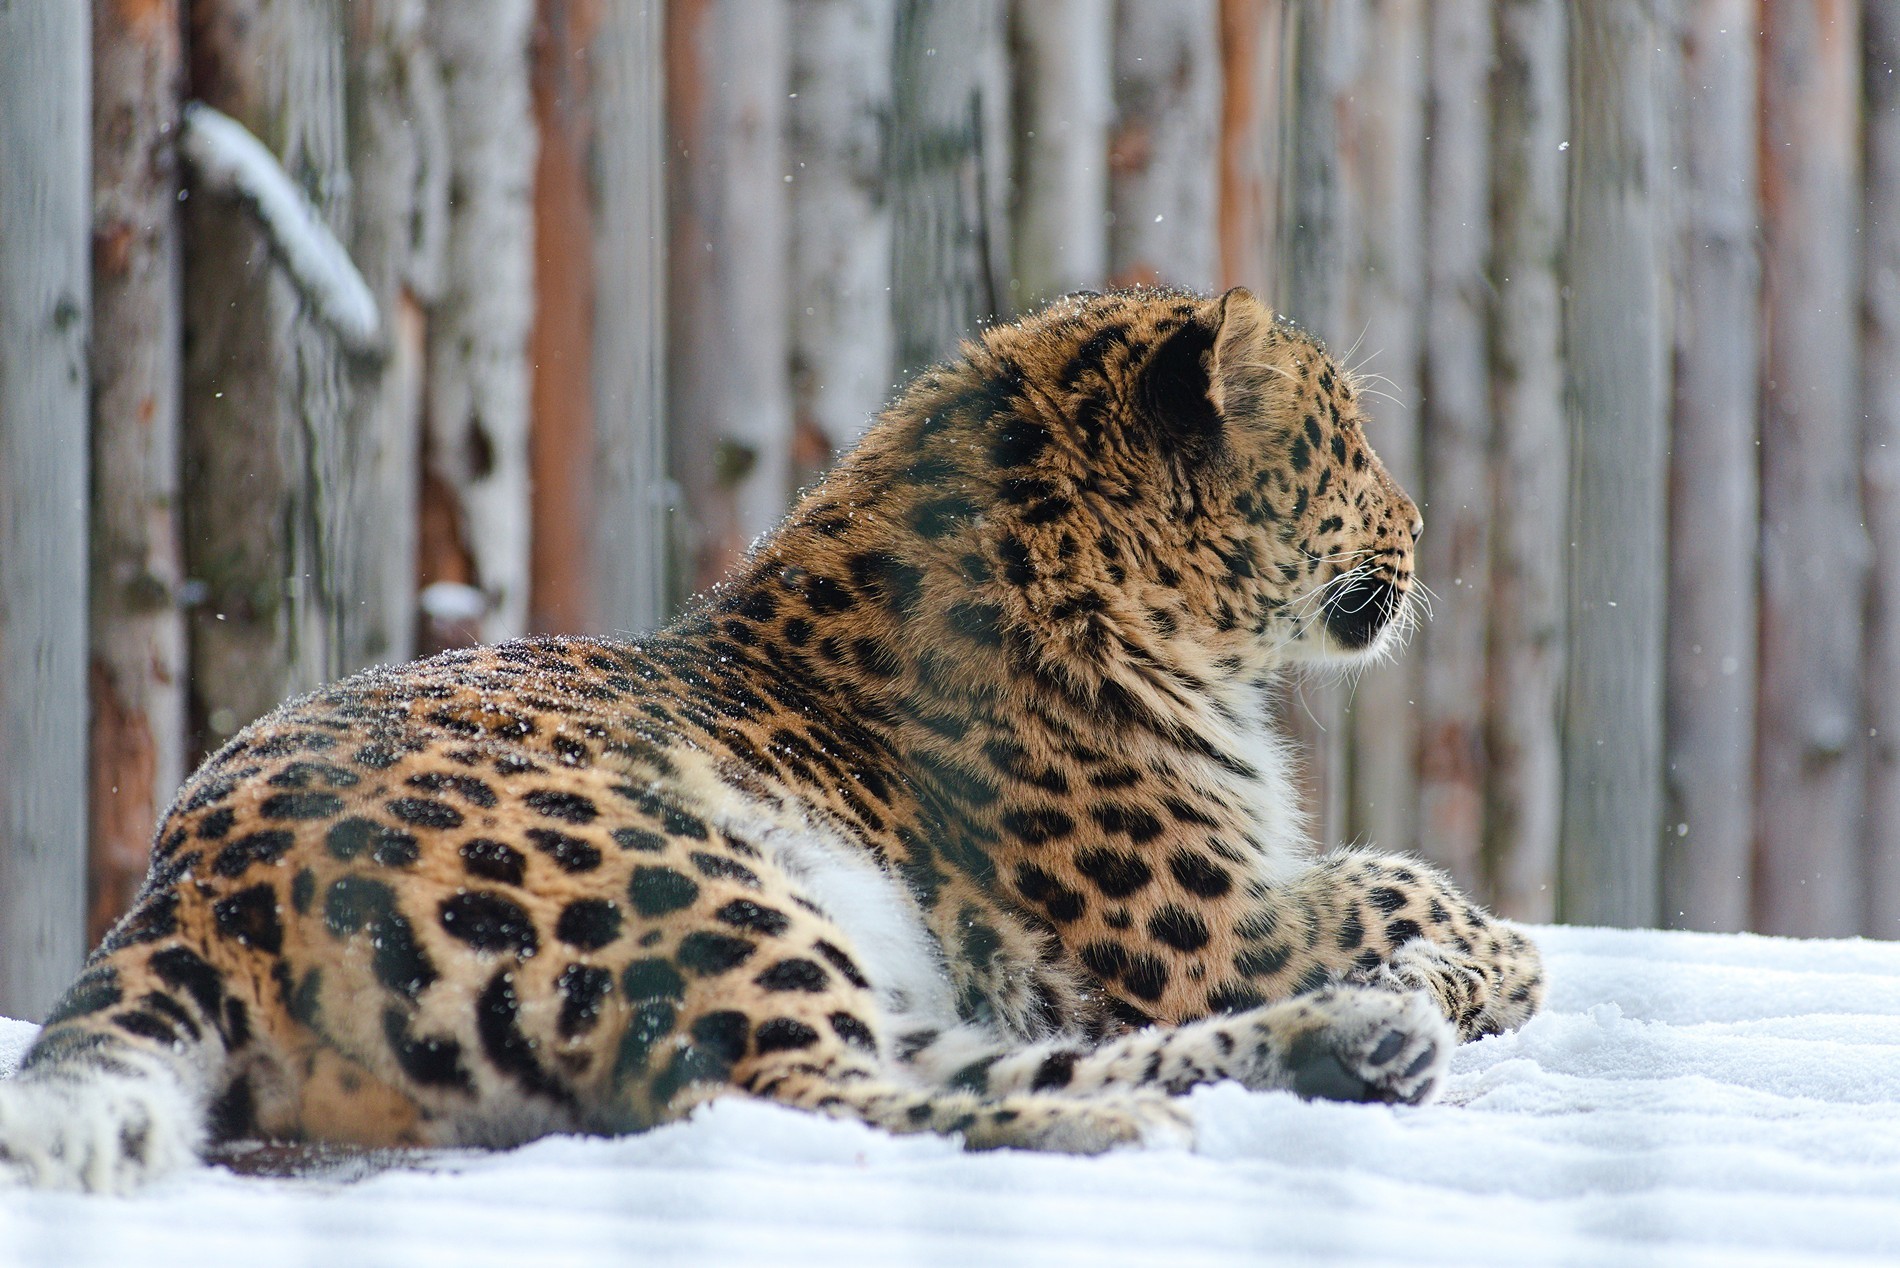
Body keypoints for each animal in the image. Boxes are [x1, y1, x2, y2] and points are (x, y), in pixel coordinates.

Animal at [0, 285, 1542, 1193]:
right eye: (1348, 445)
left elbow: (1393, 886)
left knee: (914, 1065)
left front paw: (1459, 973)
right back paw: (1138, 1124)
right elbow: (1397, 881)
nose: (1418, 526)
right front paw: (1493, 960)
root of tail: (187, 882)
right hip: (694, 880)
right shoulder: (1201, 932)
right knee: (807, 1096)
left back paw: (1356, 1045)